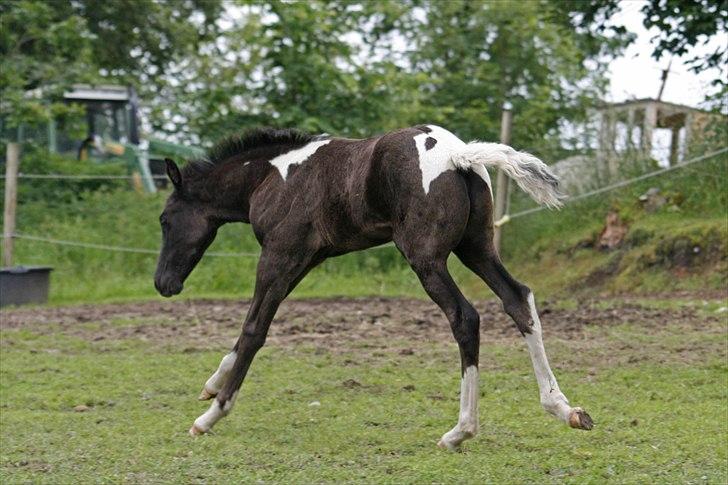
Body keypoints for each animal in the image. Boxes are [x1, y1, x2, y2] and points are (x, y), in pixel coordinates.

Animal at [152, 125, 592, 450]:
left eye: (165, 219)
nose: (163, 283)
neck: (274, 174)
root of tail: (459, 156)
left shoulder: (278, 255)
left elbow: (253, 329)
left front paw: (210, 416)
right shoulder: (303, 261)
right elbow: (252, 326)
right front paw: (211, 386)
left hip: (426, 258)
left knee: (465, 317)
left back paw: (459, 432)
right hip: (477, 248)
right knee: (518, 299)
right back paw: (564, 408)